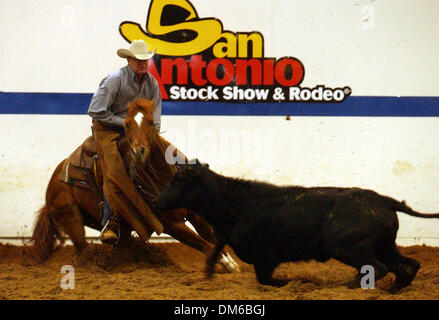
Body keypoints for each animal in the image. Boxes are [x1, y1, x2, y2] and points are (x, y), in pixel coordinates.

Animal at [29, 99, 239, 272]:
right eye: (128, 124)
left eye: (150, 122)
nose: (139, 151)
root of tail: (53, 184)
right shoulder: (170, 225)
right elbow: (202, 244)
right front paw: (230, 265)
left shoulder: (195, 212)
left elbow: (210, 236)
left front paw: (235, 263)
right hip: (71, 218)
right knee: (83, 251)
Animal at [156, 162, 439, 292]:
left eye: (179, 181)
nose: (157, 201)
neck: (236, 203)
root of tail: (383, 200)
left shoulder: (265, 258)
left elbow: (266, 279)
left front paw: (297, 282)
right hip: (386, 246)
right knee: (407, 266)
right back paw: (391, 290)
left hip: (348, 248)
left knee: (378, 268)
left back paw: (346, 286)